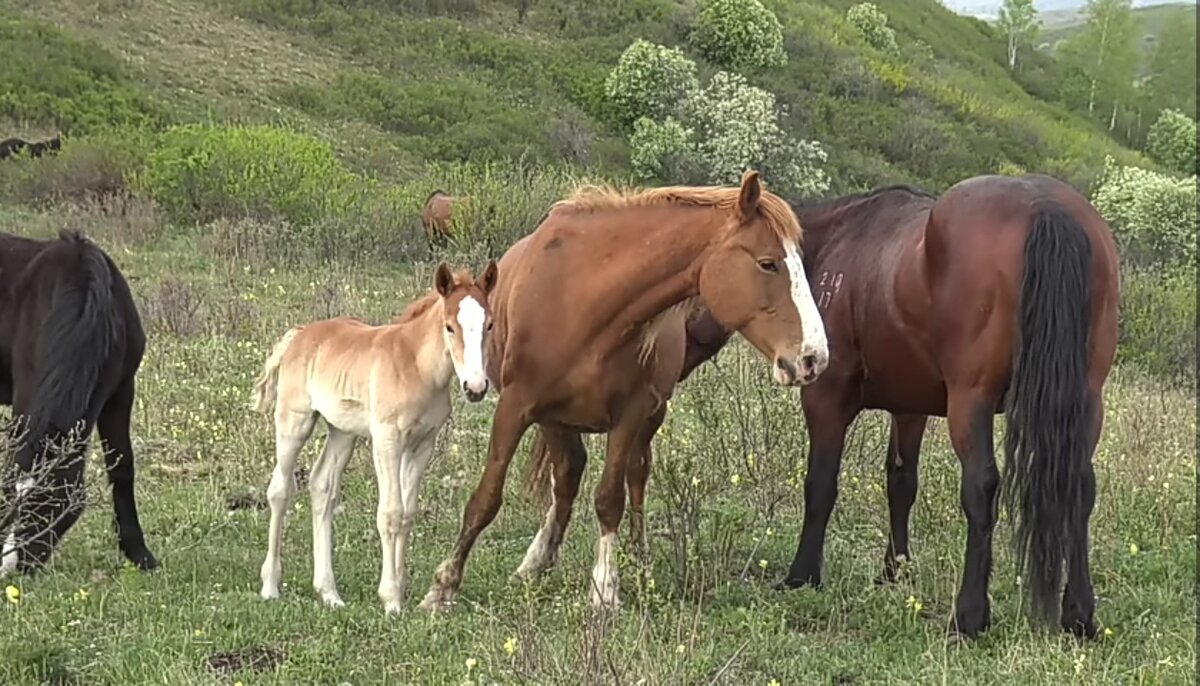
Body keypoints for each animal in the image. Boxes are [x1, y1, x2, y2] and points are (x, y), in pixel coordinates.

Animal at [253, 261, 496, 611]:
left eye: (489, 324)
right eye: (449, 326)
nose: (475, 388)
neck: (416, 366)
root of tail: (300, 334)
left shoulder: (422, 445)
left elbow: (408, 514)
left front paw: (402, 590)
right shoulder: (387, 440)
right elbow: (390, 513)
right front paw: (391, 598)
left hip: (342, 432)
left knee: (322, 488)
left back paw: (329, 593)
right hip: (294, 421)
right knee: (280, 490)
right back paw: (271, 585)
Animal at [417, 171, 830, 611]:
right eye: (767, 263)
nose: (814, 357)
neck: (584, 304)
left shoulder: (631, 415)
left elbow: (610, 498)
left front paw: (605, 587)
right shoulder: (517, 406)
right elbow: (486, 498)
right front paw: (443, 585)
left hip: (647, 416)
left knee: (634, 474)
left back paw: (635, 555)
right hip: (554, 420)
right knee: (567, 476)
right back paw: (537, 559)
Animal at [686, 172, 1123, 638]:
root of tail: (1046, 207)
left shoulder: (826, 398)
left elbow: (820, 485)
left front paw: (803, 574)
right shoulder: (910, 410)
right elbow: (901, 483)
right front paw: (895, 569)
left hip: (972, 401)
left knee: (981, 488)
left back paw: (969, 615)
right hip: (1085, 403)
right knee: (1080, 487)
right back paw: (1079, 614)